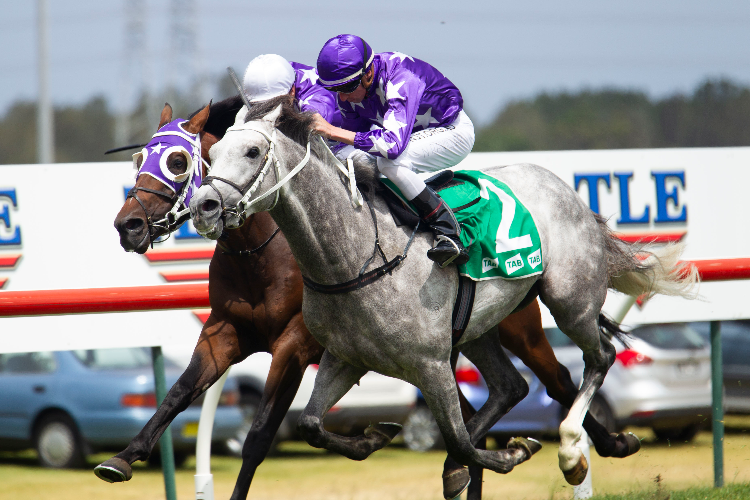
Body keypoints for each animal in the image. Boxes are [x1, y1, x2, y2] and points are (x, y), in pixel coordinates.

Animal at [103, 97, 648, 500]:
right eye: (139, 160)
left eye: (179, 161)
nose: (129, 225)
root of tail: (564, 189)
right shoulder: (237, 333)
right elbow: (191, 395)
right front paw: (122, 459)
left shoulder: (304, 346)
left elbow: (259, 437)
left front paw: (507, 453)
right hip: (478, 331)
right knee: (512, 387)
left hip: (555, 307)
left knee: (575, 370)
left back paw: (585, 450)